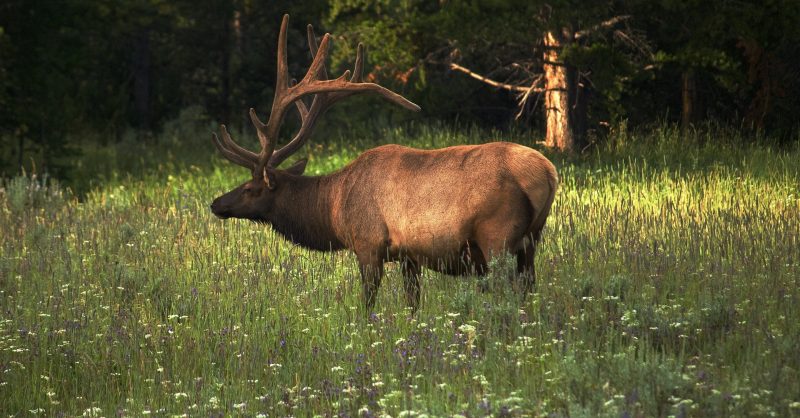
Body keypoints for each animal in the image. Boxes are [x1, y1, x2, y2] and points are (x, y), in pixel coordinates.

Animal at [209, 15, 560, 310]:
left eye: (250, 187)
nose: (215, 203)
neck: (333, 207)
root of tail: (548, 174)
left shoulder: (368, 243)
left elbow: (368, 303)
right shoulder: (409, 256)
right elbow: (412, 303)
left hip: (497, 235)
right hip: (531, 239)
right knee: (528, 287)